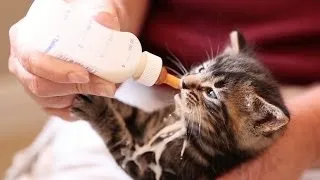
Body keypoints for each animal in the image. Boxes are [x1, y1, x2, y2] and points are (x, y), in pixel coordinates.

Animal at [72, 31, 290, 180]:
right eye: (201, 69)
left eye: (211, 93)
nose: (185, 81)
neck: (182, 123)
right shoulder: (147, 121)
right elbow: (128, 111)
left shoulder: (148, 170)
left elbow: (118, 139)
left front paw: (96, 108)